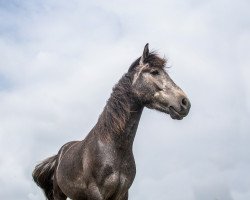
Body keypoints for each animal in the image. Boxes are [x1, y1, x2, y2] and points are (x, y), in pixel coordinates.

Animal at [32, 44, 190, 200]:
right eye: (154, 72)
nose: (185, 102)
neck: (112, 146)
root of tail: (59, 155)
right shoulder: (96, 192)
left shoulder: (122, 194)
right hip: (59, 194)